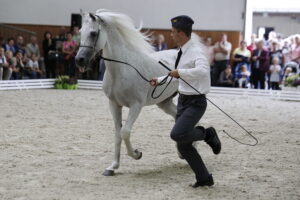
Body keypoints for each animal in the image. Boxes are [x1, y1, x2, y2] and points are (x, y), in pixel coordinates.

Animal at [75, 9, 179, 175]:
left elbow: (125, 132)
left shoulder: (136, 106)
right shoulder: (114, 105)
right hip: (164, 103)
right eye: (80, 32)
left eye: (93, 33)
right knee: (177, 117)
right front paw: (112, 167)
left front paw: (137, 154)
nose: (79, 60)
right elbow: (118, 134)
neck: (122, 69)